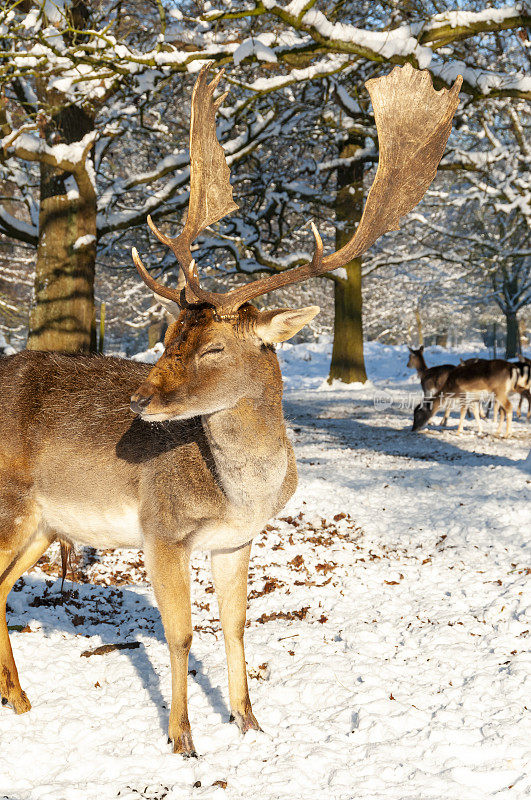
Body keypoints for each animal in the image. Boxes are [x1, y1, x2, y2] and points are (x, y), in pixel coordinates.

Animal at [0, 64, 464, 756]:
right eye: (169, 334)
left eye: (214, 346)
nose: (140, 399)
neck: (239, 493)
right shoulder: (162, 529)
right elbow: (181, 634)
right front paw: (183, 741)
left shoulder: (237, 540)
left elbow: (237, 626)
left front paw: (250, 723)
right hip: (13, 506)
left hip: (41, 524)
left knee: (0, 586)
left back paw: (21, 700)